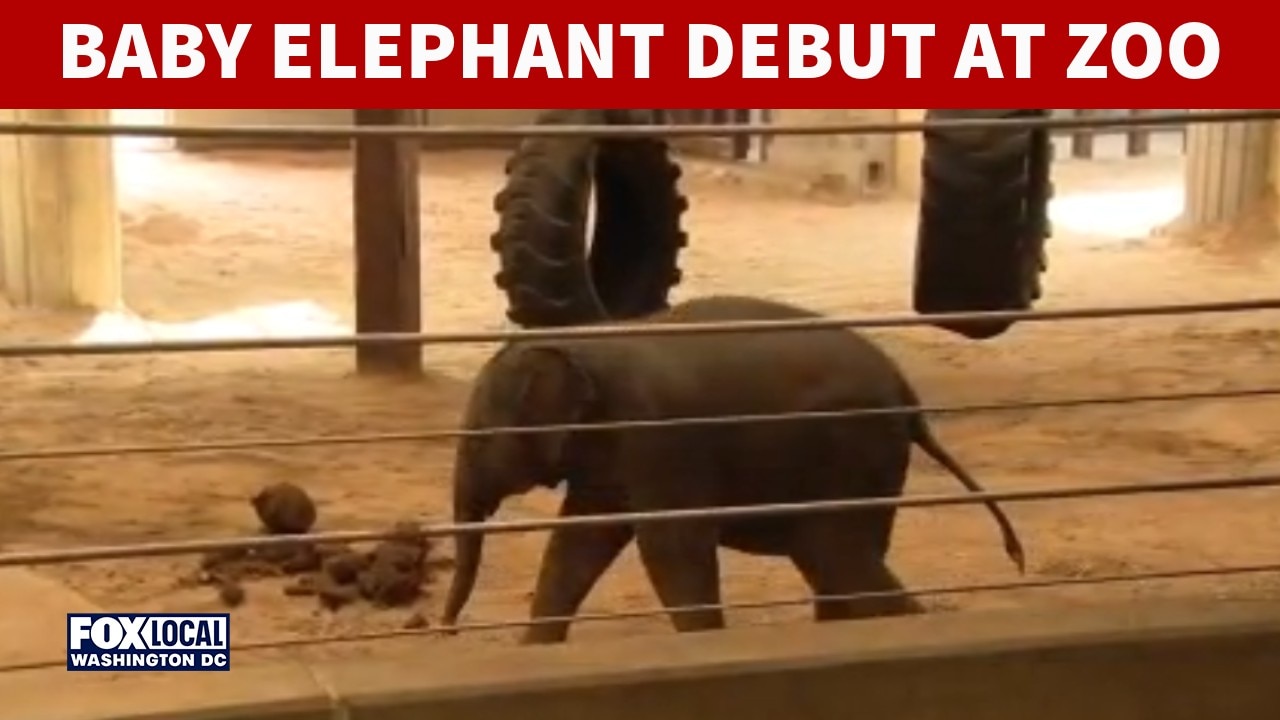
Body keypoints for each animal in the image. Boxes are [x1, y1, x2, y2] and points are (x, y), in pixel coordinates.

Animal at [440, 295, 1025, 644]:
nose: (440, 630)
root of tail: (908, 395)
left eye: (479, 441)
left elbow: (671, 549)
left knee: (835, 556)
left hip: (846, 452)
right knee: (838, 562)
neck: (585, 339)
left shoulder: (660, 440)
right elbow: (578, 543)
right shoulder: (606, 460)